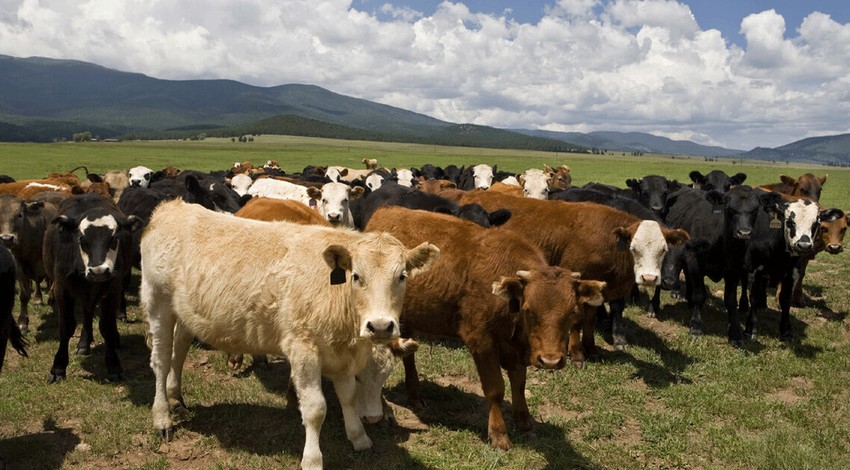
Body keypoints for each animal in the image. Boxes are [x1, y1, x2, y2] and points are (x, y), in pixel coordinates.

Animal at [42, 194, 141, 382]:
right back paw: (84, 343)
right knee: (87, 314)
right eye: (82, 239)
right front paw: (58, 368)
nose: (99, 271)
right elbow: (66, 327)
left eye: (114, 239)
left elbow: (106, 326)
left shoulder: (113, 291)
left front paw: (113, 365)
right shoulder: (62, 291)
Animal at [364, 207, 604, 450]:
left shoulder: (516, 348)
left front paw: (523, 420)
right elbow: (495, 388)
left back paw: (414, 395)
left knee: (408, 358)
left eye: (572, 311)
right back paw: (383, 413)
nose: (551, 361)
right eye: (528, 310)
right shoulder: (481, 341)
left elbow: (519, 383)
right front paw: (498, 434)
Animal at [454, 189, 684, 358]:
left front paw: (591, 348)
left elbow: (591, 318)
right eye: (633, 248)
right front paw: (574, 352)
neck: (607, 239)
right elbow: (578, 318)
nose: (649, 278)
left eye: (663, 249)